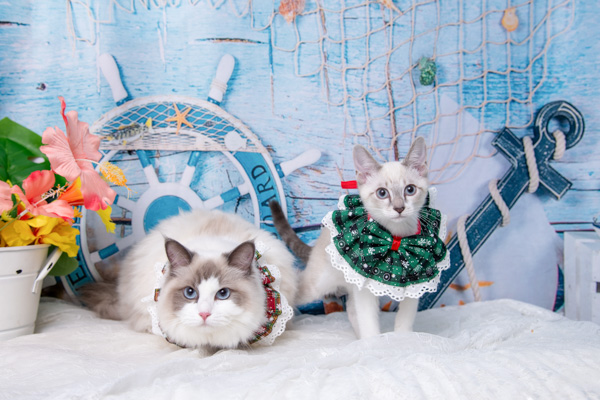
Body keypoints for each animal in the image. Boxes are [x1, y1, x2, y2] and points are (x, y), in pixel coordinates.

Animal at [270, 137, 448, 339]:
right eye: (382, 193)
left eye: (410, 190)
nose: (399, 208)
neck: (395, 238)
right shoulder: (364, 285)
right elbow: (369, 321)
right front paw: (373, 343)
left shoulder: (416, 281)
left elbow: (404, 321)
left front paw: (400, 341)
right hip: (317, 285)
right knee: (295, 291)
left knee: (351, 310)